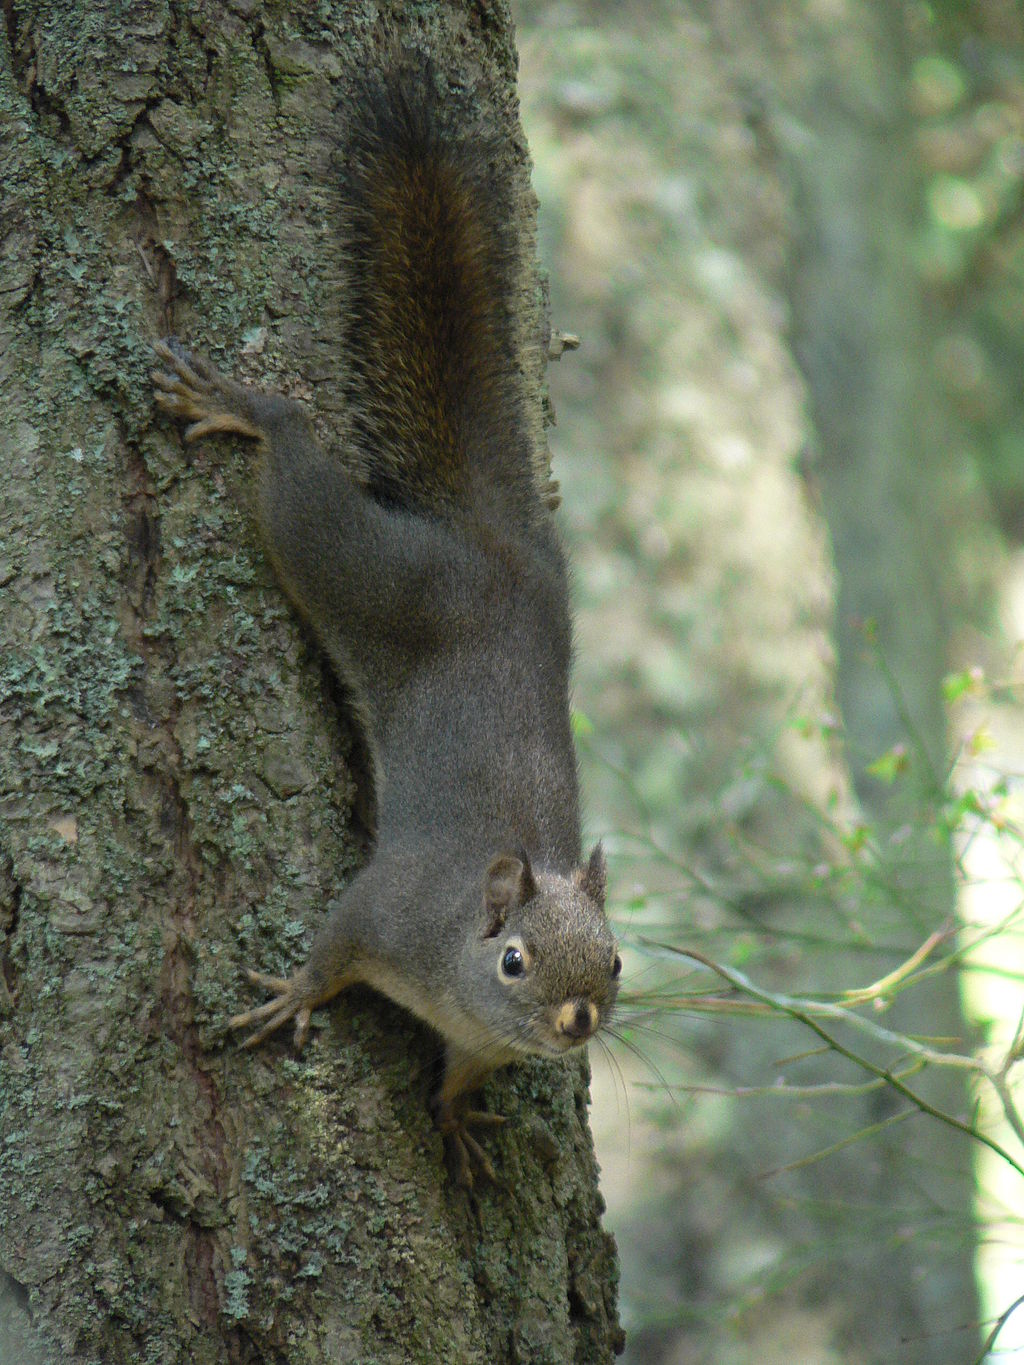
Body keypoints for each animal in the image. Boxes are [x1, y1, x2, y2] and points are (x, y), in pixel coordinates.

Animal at [151, 59, 620, 1186]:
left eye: (618, 960)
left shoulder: (480, 1041)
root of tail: (492, 550)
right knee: (296, 477)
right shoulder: (387, 910)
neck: (462, 978)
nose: (579, 1022)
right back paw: (247, 408)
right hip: (360, 567)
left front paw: (456, 1120)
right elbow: (333, 948)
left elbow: (462, 1078)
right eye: (515, 959)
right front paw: (291, 994)